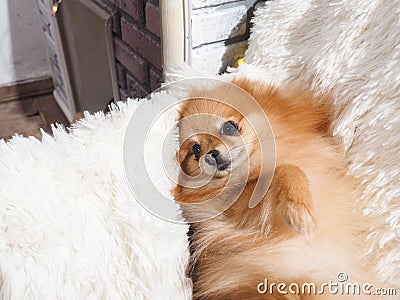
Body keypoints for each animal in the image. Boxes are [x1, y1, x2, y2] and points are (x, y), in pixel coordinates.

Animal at [173, 77, 382, 298]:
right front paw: (300, 213)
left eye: (229, 127)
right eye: (196, 149)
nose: (210, 154)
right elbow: (286, 170)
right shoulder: (239, 215)